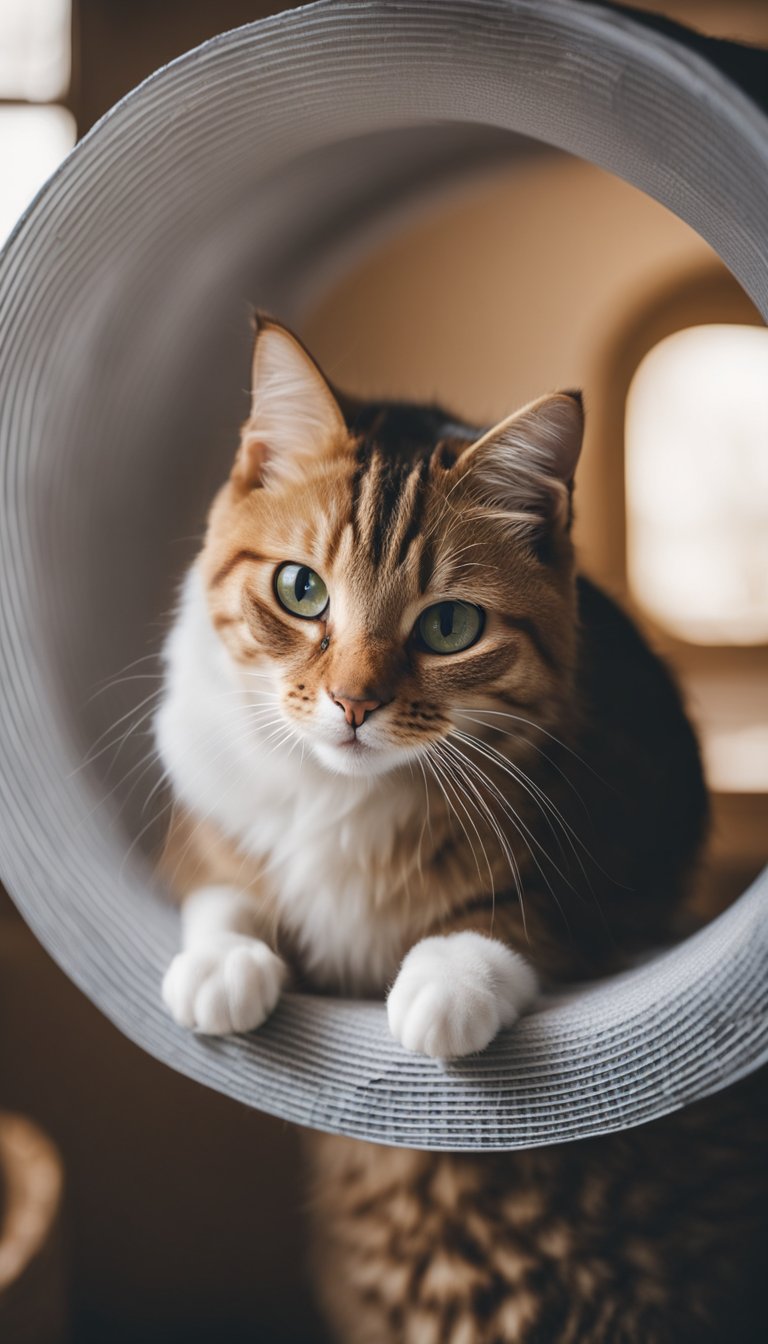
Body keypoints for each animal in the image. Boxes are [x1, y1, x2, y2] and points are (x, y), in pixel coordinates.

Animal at [153, 317, 763, 1344]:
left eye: (448, 627)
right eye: (300, 590)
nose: (354, 703)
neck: (350, 796)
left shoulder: (622, 847)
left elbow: (524, 917)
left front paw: (447, 983)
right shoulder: (202, 803)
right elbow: (224, 885)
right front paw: (221, 966)